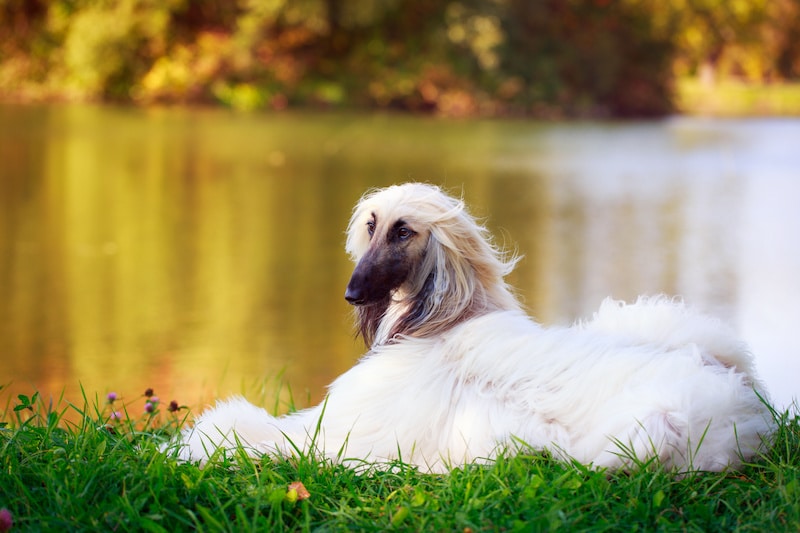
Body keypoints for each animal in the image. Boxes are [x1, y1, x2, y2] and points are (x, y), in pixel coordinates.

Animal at [173, 182, 776, 470]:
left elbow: (243, 430)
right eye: (371, 225)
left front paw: (186, 445)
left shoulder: (333, 435)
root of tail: (727, 412)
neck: (444, 322)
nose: (351, 293)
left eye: (403, 231)